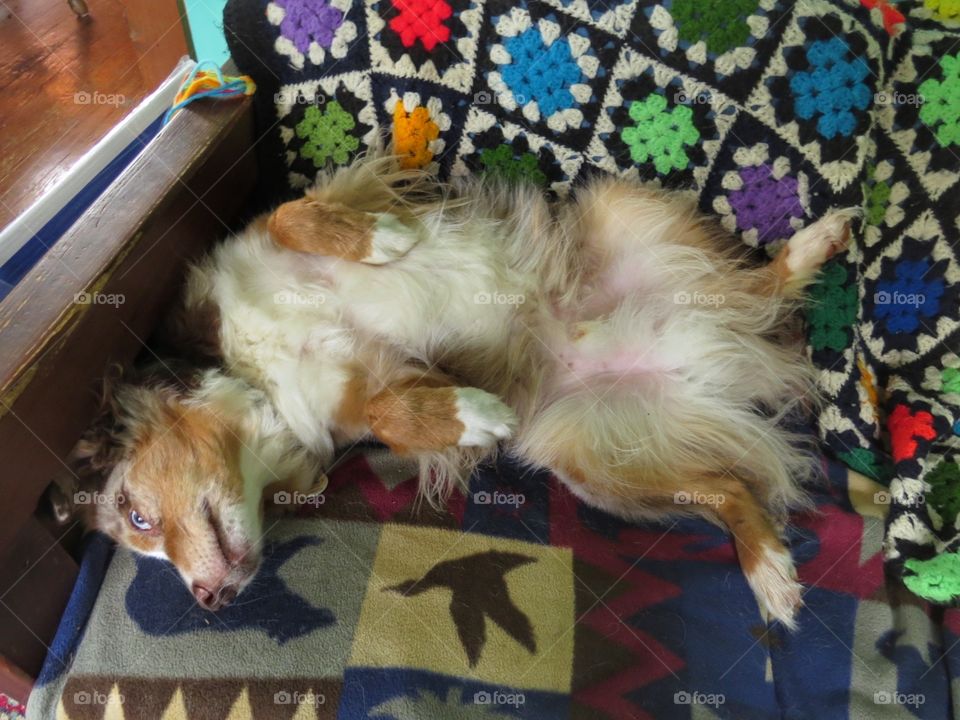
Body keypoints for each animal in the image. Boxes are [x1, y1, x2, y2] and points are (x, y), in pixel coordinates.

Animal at [77, 155, 856, 628]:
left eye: (138, 515)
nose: (208, 600)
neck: (252, 369)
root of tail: (714, 345)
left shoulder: (285, 224)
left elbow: (296, 214)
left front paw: (385, 240)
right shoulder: (363, 392)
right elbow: (391, 413)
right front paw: (471, 413)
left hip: (620, 208)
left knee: (760, 283)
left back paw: (814, 243)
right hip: (591, 458)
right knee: (730, 486)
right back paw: (771, 572)